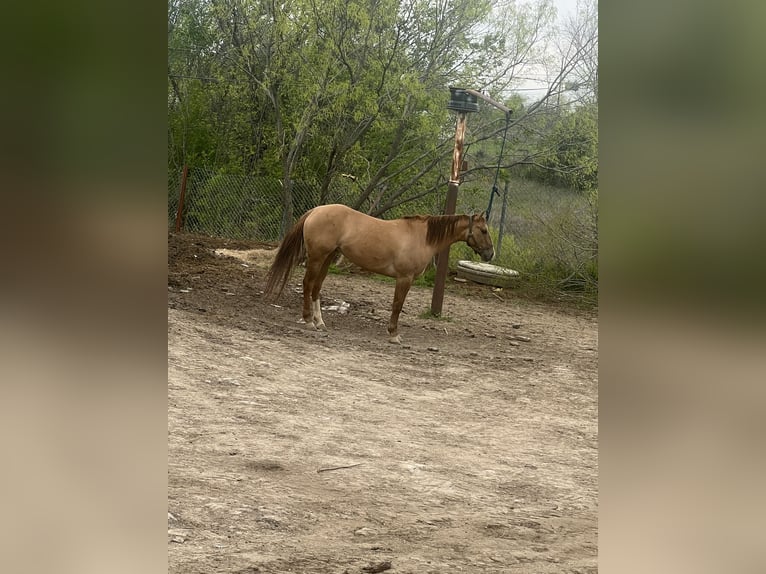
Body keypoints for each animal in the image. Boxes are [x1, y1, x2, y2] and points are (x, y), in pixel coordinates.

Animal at [264, 205, 496, 344]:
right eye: (484, 230)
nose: (490, 254)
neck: (422, 237)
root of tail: (316, 211)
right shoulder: (404, 278)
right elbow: (397, 306)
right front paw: (393, 334)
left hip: (327, 258)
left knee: (316, 288)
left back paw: (319, 322)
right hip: (317, 258)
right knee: (307, 284)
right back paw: (308, 321)